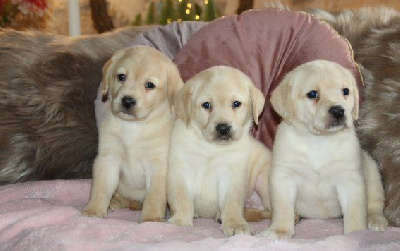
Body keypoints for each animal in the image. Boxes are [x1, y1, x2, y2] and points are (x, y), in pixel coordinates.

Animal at [81, 45, 184, 222]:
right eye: (121, 77)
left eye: (150, 85)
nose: (127, 101)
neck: (133, 127)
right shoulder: (108, 159)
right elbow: (100, 189)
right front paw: (94, 210)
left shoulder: (158, 165)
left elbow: (155, 196)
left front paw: (152, 218)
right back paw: (115, 202)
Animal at [167, 65, 274, 236]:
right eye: (206, 105)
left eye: (236, 104)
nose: (223, 128)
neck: (211, 148)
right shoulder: (181, 169)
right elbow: (181, 197)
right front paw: (181, 220)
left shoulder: (231, 176)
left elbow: (232, 204)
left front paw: (236, 224)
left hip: (264, 180)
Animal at [262, 59, 388, 238]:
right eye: (313, 94)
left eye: (345, 91)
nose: (338, 110)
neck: (318, 140)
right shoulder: (284, 176)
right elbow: (283, 208)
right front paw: (279, 229)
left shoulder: (350, 180)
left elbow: (355, 212)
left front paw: (356, 233)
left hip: (372, 172)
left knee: (375, 204)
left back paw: (376, 220)